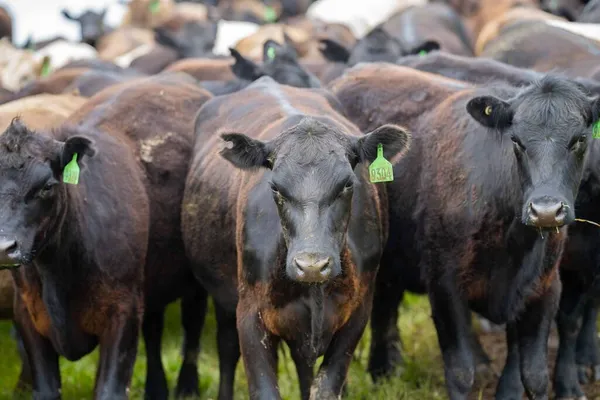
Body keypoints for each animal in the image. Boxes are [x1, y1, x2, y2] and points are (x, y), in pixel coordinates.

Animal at [180, 76, 410, 400]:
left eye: (347, 184)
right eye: (275, 187)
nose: (311, 265)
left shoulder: (357, 313)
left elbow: (324, 387)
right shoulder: (250, 315)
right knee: (227, 348)